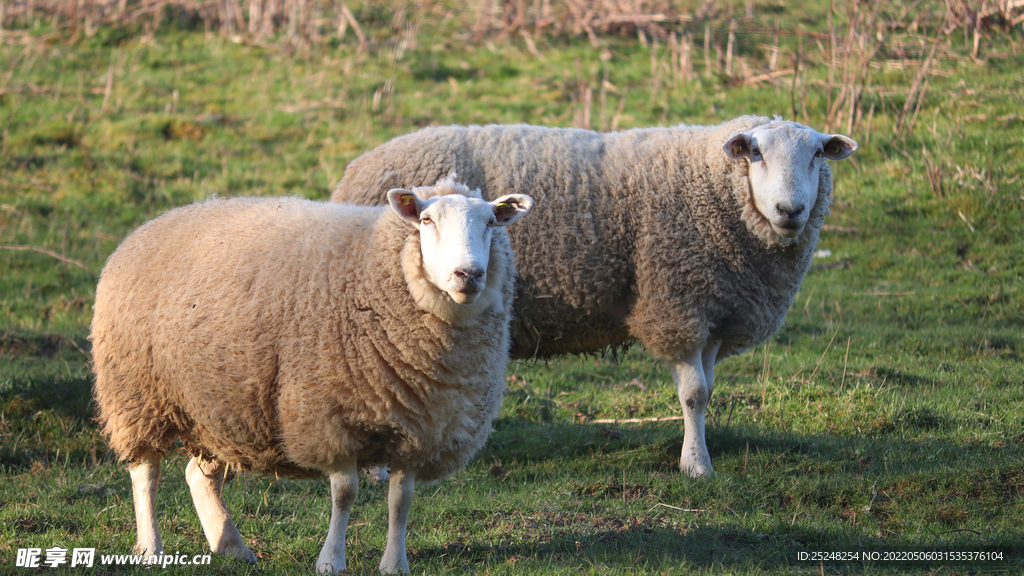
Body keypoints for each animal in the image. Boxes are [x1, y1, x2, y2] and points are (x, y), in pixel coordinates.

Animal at [89, 177, 536, 569]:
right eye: (426, 221)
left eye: (491, 223)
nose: (469, 275)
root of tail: (153, 223)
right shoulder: (330, 417)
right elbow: (345, 494)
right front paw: (331, 561)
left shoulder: (419, 428)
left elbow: (401, 500)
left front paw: (395, 564)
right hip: (136, 392)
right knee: (146, 472)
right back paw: (151, 549)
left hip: (217, 406)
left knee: (200, 476)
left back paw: (231, 546)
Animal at [331, 115, 860, 475]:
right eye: (756, 154)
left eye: (817, 155)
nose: (790, 209)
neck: (714, 191)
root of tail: (354, 170)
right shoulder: (677, 302)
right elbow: (692, 394)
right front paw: (695, 466)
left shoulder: (712, 308)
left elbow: (707, 391)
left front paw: (699, 453)